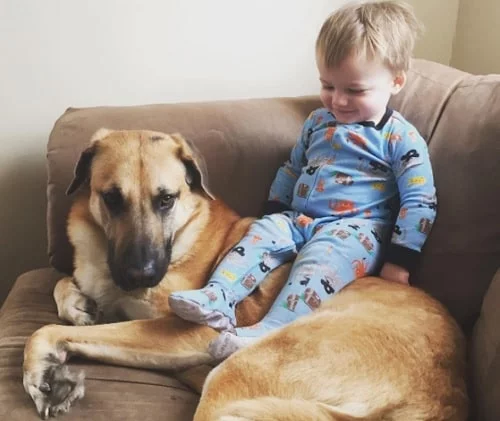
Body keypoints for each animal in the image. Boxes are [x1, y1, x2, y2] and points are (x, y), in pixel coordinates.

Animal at [23, 130, 468, 418]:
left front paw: (39, 365)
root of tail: (443, 399)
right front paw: (78, 305)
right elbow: (64, 286)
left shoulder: (185, 332)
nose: (140, 275)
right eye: (112, 199)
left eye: (166, 199)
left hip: (239, 372)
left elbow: (44, 331)